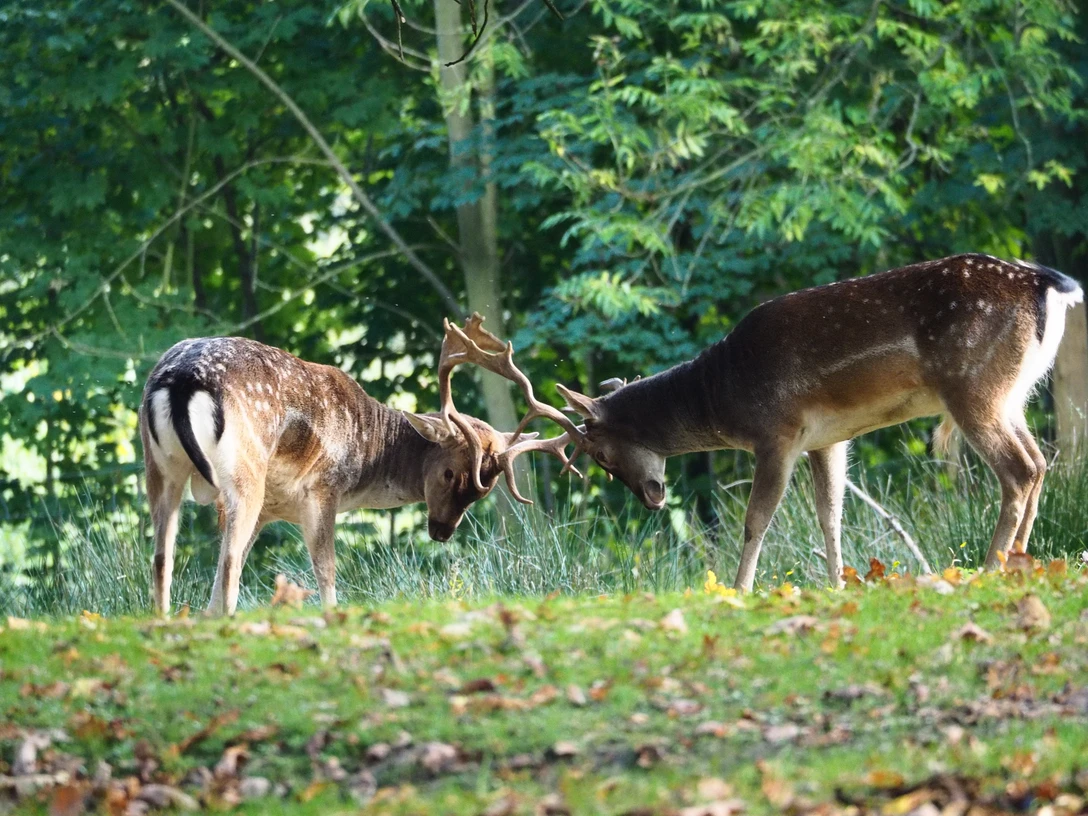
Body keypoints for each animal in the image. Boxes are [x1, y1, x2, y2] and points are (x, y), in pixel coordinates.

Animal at [139, 314, 579, 616]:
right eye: (448, 472)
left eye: (480, 492)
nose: (441, 531)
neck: (366, 450)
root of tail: (181, 379)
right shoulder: (323, 487)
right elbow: (326, 567)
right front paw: (332, 615)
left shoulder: (271, 509)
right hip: (244, 473)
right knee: (227, 562)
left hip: (159, 466)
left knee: (163, 556)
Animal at [548, 254, 1083, 592]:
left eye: (601, 454)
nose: (651, 498)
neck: (722, 394)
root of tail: (1054, 287)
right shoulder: (827, 440)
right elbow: (831, 514)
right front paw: (837, 584)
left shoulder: (778, 433)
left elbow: (755, 521)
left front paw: (738, 590)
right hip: (1013, 393)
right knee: (1039, 463)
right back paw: (1021, 563)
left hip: (973, 386)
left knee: (1018, 470)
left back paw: (991, 569)